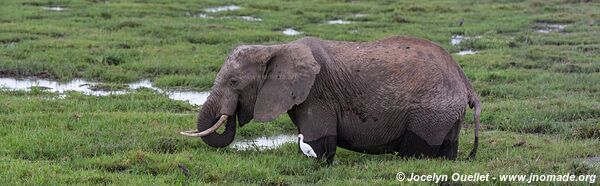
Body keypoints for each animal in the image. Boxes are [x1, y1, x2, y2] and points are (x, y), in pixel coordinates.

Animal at [180, 36, 480, 163]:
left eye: (234, 83)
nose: (231, 114)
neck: (276, 48)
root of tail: (465, 82)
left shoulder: (318, 93)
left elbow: (319, 142)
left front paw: (318, 163)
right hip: (446, 114)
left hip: (431, 112)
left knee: (416, 151)